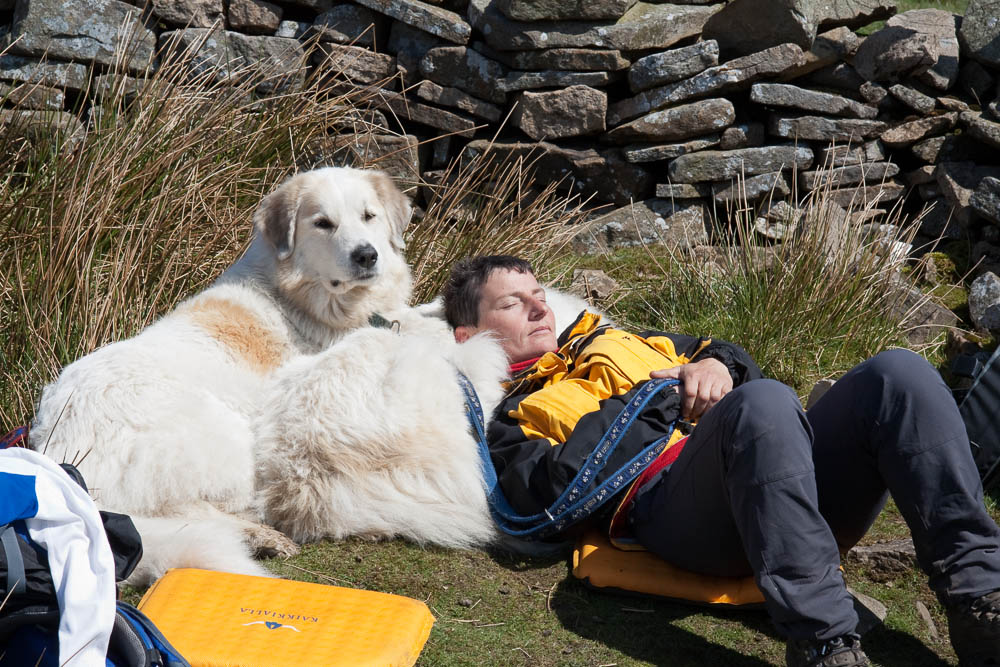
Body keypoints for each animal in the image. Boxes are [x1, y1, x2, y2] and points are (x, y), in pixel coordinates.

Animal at [28, 166, 410, 584]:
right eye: (323, 223)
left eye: (369, 216)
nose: (366, 255)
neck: (299, 299)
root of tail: (59, 452)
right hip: (228, 435)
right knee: (194, 512)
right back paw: (264, 535)